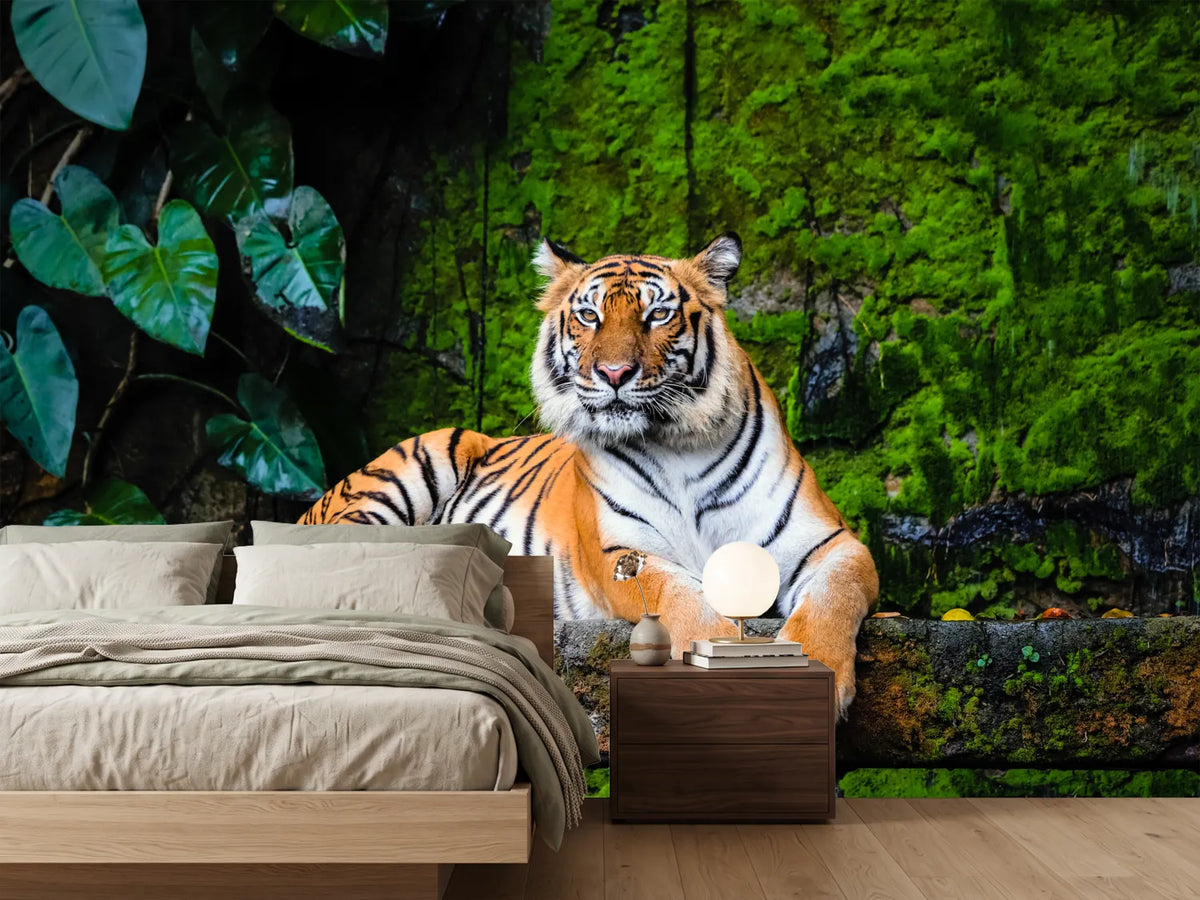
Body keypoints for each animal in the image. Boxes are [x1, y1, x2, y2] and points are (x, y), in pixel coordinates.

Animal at [301, 233, 879, 714]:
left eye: (658, 314)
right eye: (588, 315)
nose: (614, 373)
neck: (678, 444)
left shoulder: (832, 543)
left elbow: (833, 597)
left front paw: (821, 674)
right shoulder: (620, 552)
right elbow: (680, 597)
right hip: (417, 462)